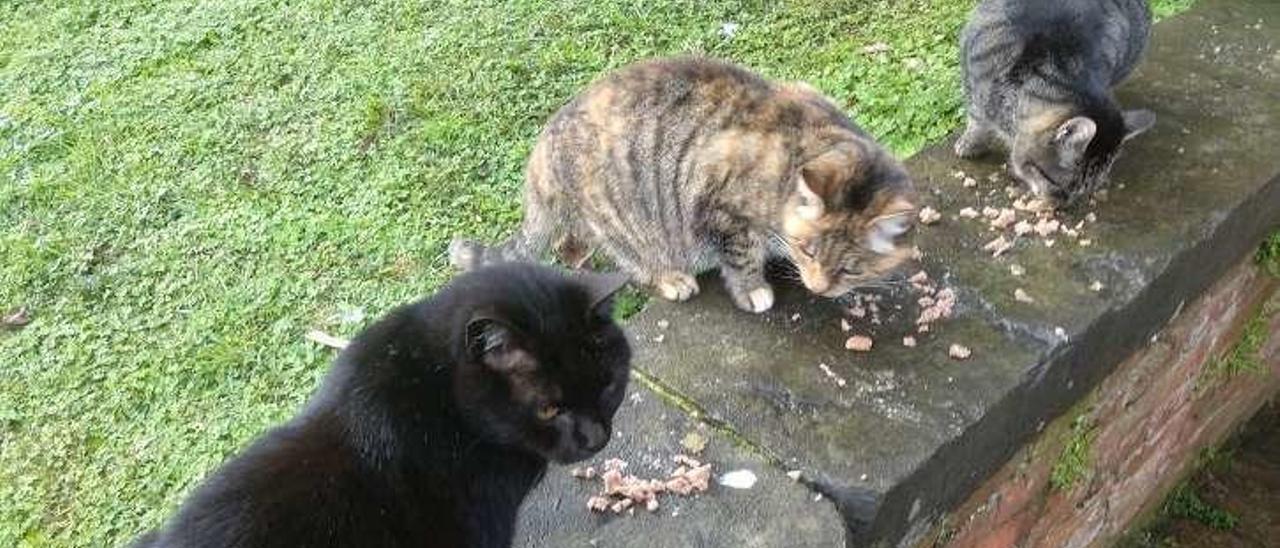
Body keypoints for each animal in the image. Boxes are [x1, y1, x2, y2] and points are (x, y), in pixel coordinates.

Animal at [448, 56, 911, 312]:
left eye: (850, 267)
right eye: (809, 250)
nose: (818, 287)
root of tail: (542, 149)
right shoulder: (721, 206)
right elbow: (742, 257)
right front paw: (753, 289)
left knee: (567, 245)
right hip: (623, 219)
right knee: (629, 260)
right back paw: (669, 278)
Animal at [962, 0, 1162, 204]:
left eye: (1084, 189)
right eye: (1055, 183)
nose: (1062, 205)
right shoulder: (974, 82)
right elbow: (977, 120)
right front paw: (970, 144)